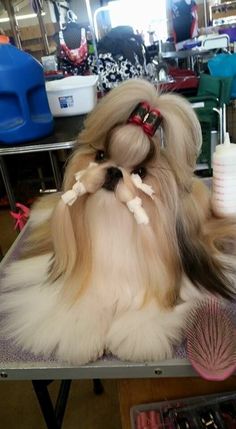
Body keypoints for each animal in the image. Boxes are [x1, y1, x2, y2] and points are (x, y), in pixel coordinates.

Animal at [1, 78, 236, 362]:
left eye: (140, 172)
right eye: (101, 156)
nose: (114, 172)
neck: (113, 224)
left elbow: (150, 309)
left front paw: (135, 335)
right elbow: (82, 304)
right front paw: (80, 333)